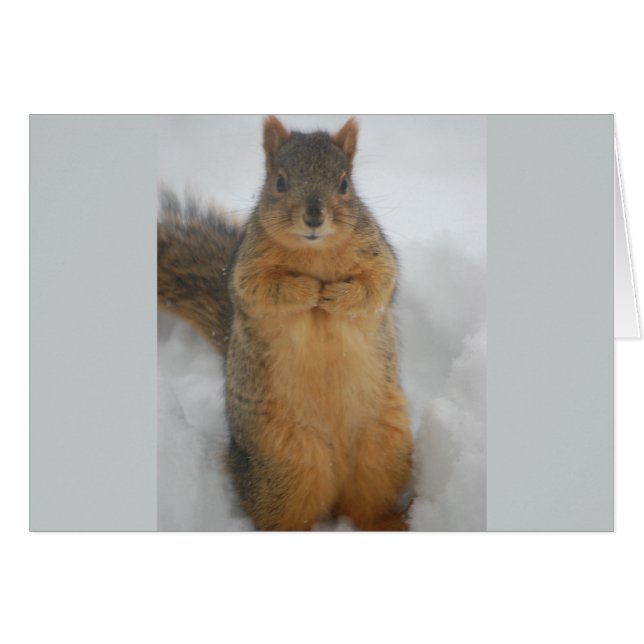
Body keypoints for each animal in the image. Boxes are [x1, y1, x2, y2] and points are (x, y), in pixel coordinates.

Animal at [158, 116, 413, 530]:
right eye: (279, 182)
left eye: (344, 183)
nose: (314, 217)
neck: (315, 251)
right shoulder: (246, 270)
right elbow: (262, 290)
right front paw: (308, 290)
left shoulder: (378, 256)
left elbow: (376, 286)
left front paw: (335, 296)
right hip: (284, 464)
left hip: (384, 449)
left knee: (366, 505)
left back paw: (390, 521)